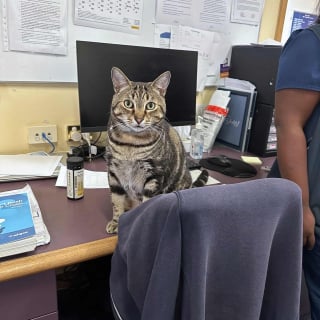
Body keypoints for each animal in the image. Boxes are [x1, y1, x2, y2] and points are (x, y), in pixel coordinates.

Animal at [106, 67, 209, 232]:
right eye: (128, 103)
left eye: (150, 105)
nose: (139, 119)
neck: (130, 144)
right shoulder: (114, 173)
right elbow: (116, 201)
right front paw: (116, 222)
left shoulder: (154, 176)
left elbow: (146, 206)